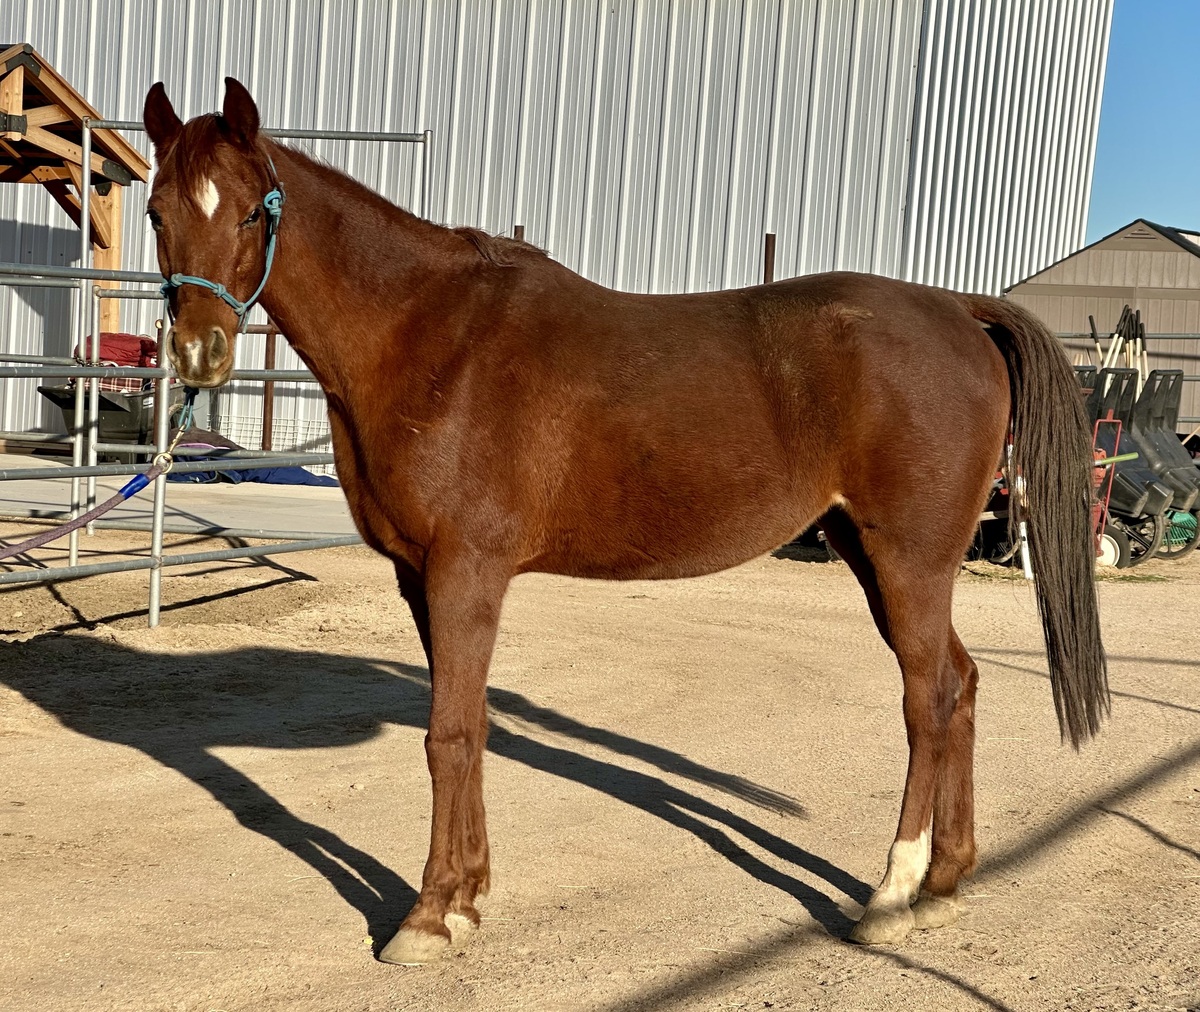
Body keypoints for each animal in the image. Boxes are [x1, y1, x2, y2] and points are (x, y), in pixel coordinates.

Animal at [142, 78, 1108, 964]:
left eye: (251, 212)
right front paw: (469, 895)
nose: (199, 353)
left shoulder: (465, 569)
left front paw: (425, 916)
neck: (429, 336)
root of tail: (959, 309)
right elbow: (473, 725)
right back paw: (945, 883)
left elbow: (448, 735)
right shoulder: (421, 576)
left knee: (929, 698)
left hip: (908, 559)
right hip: (874, 556)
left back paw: (893, 891)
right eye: (156, 212)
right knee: (964, 684)